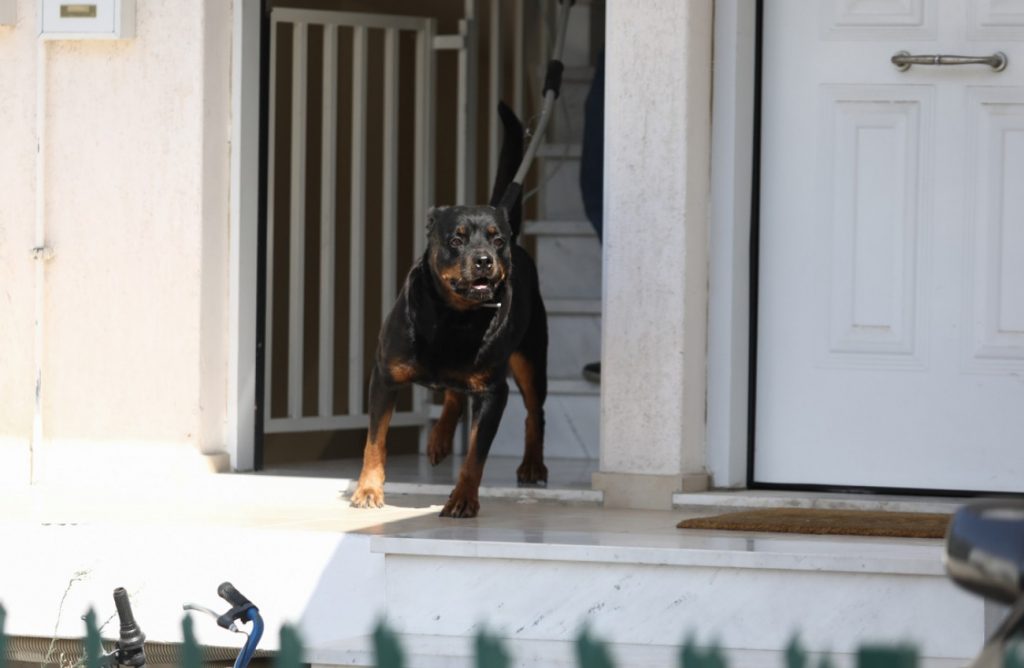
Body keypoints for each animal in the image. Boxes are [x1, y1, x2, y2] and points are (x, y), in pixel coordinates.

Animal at [348, 102, 548, 516]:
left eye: (497, 240)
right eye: (456, 239)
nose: (485, 260)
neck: (455, 318)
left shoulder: (492, 392)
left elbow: (476, 454)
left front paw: (463, 498)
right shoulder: (385, 375)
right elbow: (375, 440)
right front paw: (369, 489)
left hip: (531, 358)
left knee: (535, 412)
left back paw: (533, 464)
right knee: (454, 393)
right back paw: (439, 437)